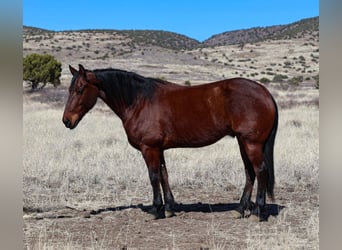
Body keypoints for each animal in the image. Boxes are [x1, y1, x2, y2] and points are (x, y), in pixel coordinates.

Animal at [62, 64, 278, 221]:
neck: (139, 101)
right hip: (243, 143)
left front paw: (156, 210)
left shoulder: (149, 148)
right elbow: (164, 175)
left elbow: (153, 176)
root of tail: (265, 92)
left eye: (80, 89)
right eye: (70, 89)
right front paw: (169, 208)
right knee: (250, 173)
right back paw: (240, 209)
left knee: (260, 171)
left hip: (252, 144)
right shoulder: (159, 149)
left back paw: (257, 212)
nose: (66, 121)